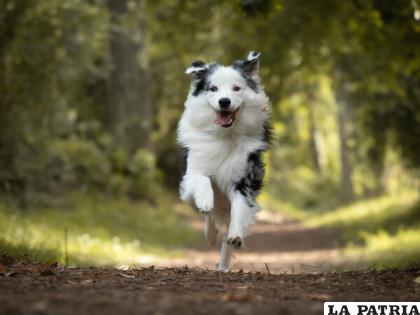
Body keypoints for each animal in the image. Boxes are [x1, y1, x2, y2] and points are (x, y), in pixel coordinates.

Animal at [176, 51, 270, 272]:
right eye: (213, 89)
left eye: (237, 88)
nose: (224, 101)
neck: (225, 135)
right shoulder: (191, 174)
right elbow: (203, 180)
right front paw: (205, 200)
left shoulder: (243, 181)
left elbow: (239, 209)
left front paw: (236, 236)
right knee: (209, 216)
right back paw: (210, 233)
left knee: (224, 231)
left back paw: (223, 263)